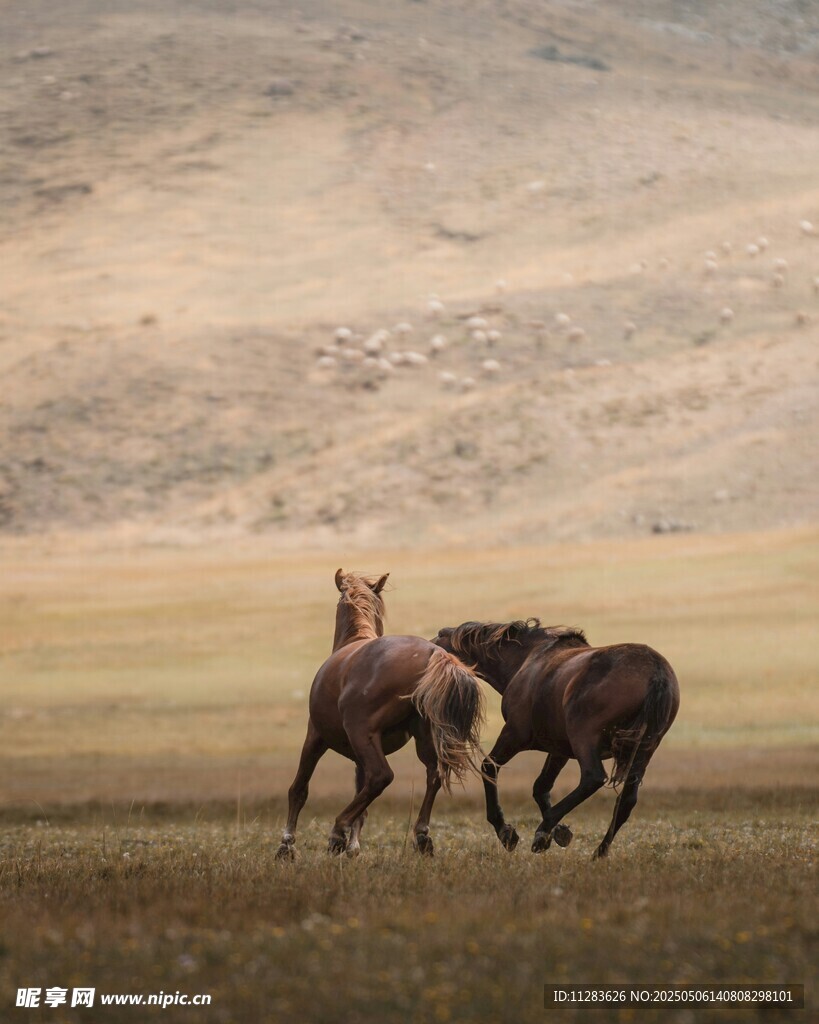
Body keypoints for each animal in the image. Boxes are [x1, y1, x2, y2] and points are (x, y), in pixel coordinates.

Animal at [276, 570, 486, 859]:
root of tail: (432, 653)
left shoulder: (315, 737)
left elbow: (298, 789)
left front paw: (286, 844)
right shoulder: (357, 757)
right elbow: (361, 801)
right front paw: (353, 847)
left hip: (362, 734)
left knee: (381, 777)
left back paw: (337, 831)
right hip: (422, 738)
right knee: (433, 775)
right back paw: (421, 836)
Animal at [432, 619, 680, 858]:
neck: (525, 660)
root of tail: (655, 673)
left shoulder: (514, 734)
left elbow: (489, 768)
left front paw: (507, 832)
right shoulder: (559, 749)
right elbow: (541, 787)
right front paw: (559, 831)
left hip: (584, 737)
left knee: (592, 778)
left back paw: (543, 831)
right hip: (644, 749)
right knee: (626, 800)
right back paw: (598, 851)